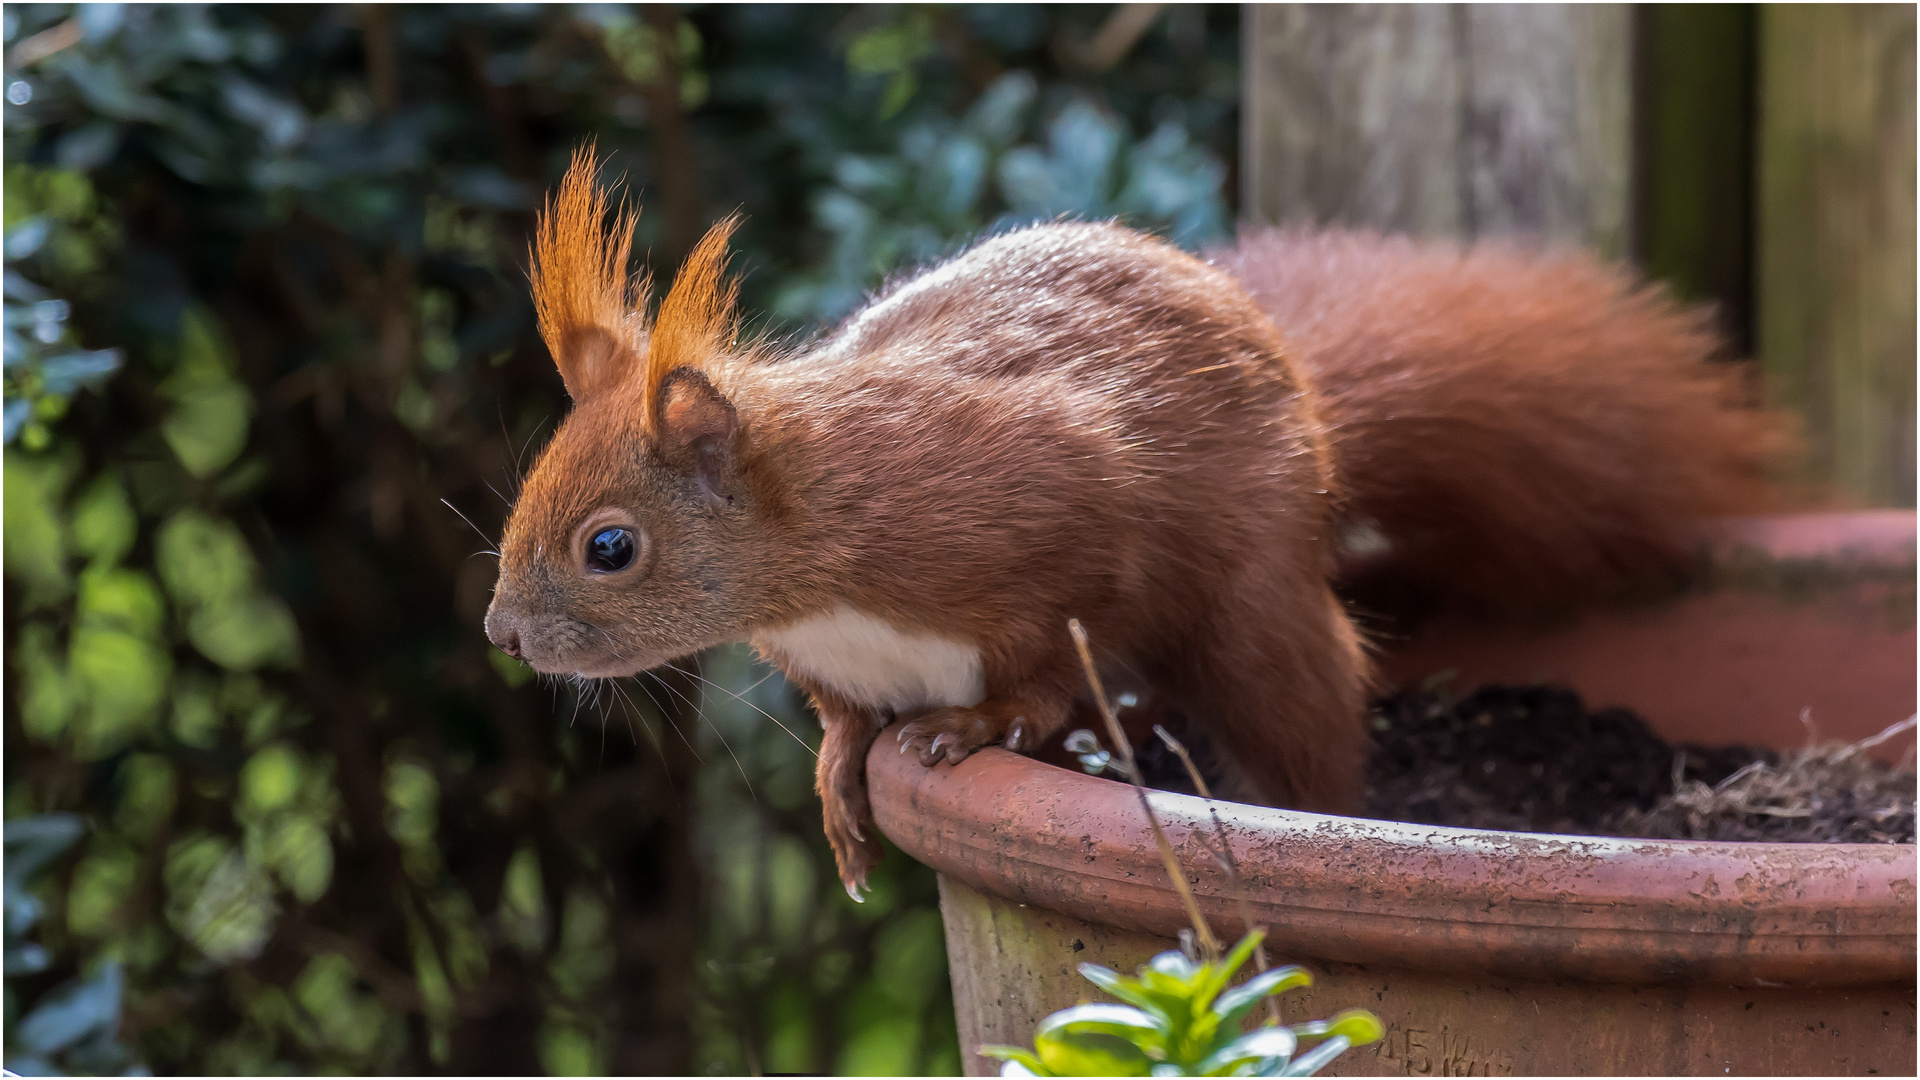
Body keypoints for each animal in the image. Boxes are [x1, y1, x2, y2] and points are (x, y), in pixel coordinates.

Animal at [487, 151, 1774, 891]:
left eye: (611, 547)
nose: (501, 633)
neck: (824, 566)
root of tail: (1315, 418)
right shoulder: (825, 658)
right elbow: (844, 719)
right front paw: (843, 774)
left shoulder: (1062, 517)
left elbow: (1049, 657)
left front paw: (975, 727)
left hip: (1255, 618)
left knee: (1297, 722)